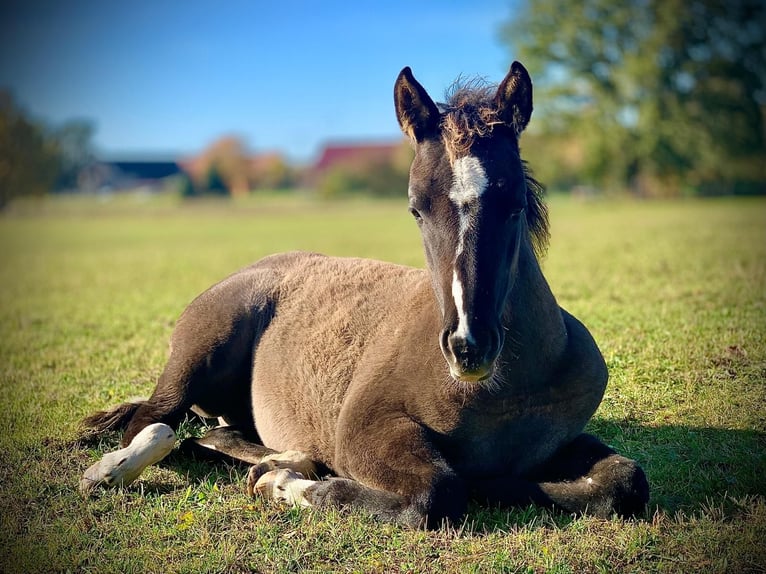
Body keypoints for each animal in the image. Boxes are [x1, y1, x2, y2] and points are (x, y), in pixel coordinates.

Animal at [80, 61, 649, 529]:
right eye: (416, 208)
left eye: (514, 203)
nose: (468, 346)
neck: (499, 392)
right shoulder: (365, 429)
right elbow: (436, 493)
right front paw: (285, 485)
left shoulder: (565, 441)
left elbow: (625, 482)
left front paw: (507, 485)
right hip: (199, 351)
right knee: (156, 423)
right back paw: (114, 470)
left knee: (212, 436)